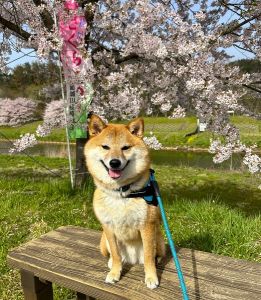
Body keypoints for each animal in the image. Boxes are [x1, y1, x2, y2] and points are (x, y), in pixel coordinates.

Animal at [84, 114, 165, 288]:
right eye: (105, 147)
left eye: (125, 148)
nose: (114, 162)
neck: (121, 193)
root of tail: (132, 259)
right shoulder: (108, 228)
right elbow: (115, 254)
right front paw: (115, 272)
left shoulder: (147, 226)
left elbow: (148, 256)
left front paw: (151, 277)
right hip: (103, 242)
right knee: (113, 255)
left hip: (160, 239)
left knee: (156, 254)